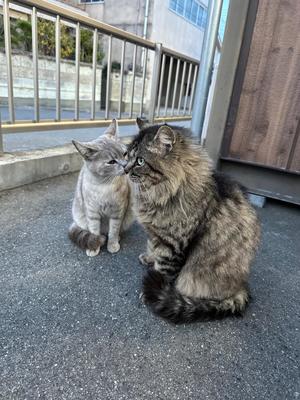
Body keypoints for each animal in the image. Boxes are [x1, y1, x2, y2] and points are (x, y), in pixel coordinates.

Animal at [69, 119, 133, 256]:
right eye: (111, 162)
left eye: (125, 154)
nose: (126, 166)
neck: (104, 185)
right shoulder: (92, 213)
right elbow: (94, 231)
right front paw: (94, 247)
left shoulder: (117, 212)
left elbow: (113, 231)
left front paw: (112, 245)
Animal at [124, 119, 260, 324]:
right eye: (126, 156)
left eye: (140, 161)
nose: (124, 169)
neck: (161, 193)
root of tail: (241, 287)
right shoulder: (156, 234)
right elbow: (153, 248)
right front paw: (149, 258)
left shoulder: (172, 245)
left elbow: (164, 270)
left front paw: (152, 288)